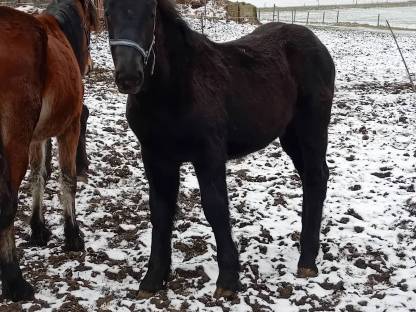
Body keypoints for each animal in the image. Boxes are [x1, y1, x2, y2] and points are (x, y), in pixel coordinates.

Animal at [0, 0, 96, 302]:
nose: (89, 65)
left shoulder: (36, 138)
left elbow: (38, 176)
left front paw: (38, 228)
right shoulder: (70, 128)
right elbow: (67, 179)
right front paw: (72, 234)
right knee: (6, 205)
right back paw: (15, 282)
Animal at [103, 0, 334, 298]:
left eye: (151, 14)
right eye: (107, 14)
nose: (129, 77)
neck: (174, 90)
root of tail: (316, 42)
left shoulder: (209, 155)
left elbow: (215, 208)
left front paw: (228, 279)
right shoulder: (156, 157)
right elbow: (160, 211)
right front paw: (153, 279)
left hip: (312, 128)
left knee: (316, 177)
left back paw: (307, 261)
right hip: (290, 135)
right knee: (311, 178)